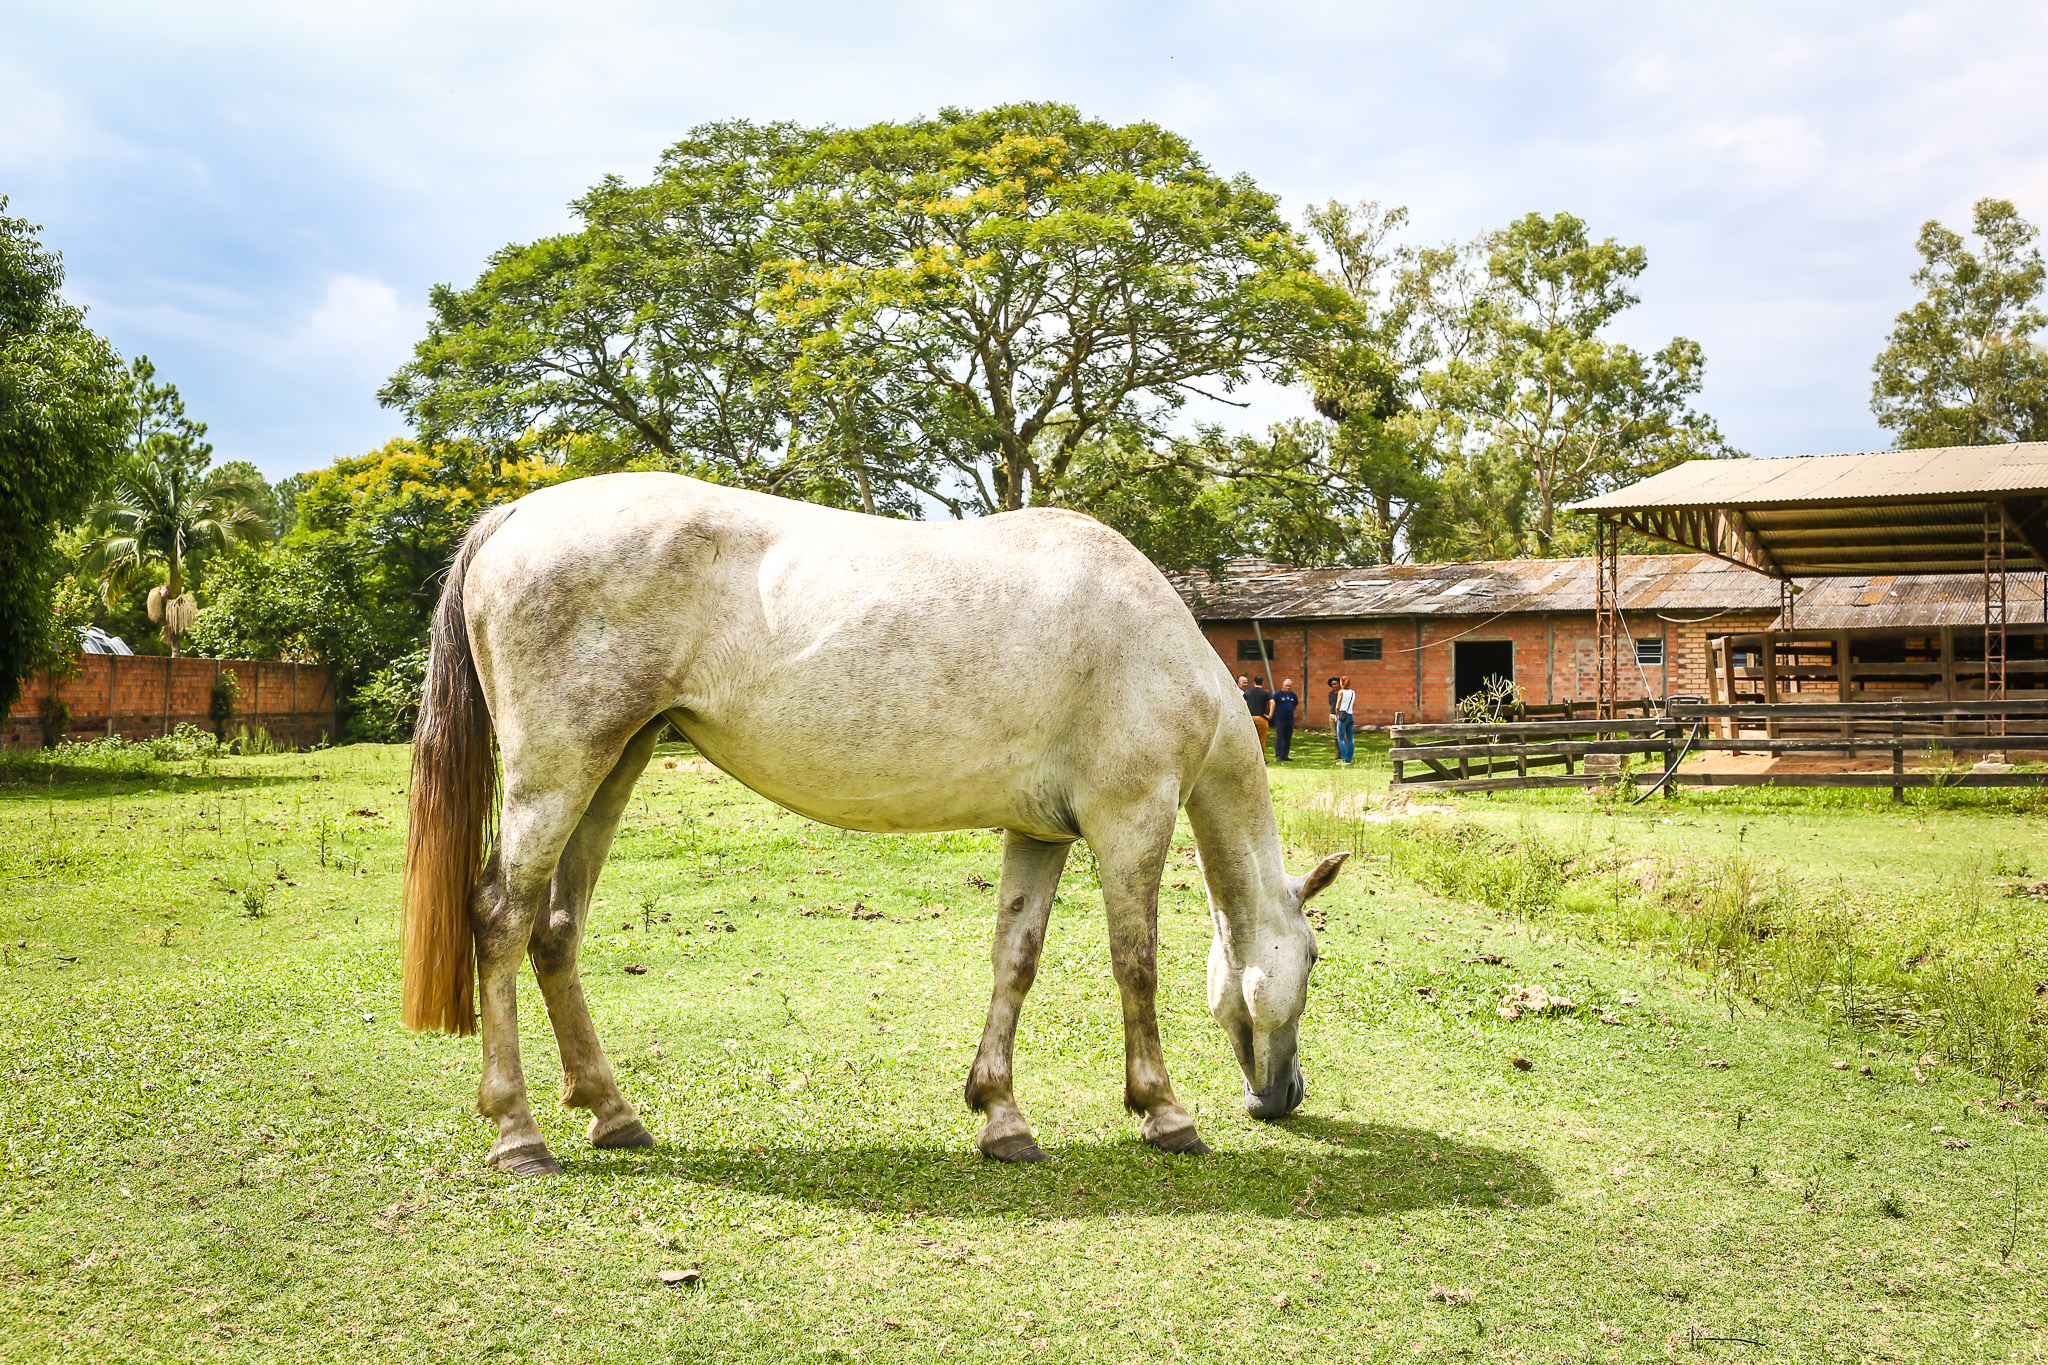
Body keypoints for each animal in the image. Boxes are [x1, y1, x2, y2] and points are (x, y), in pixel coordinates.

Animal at [405, 472, 1351, 1178]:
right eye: (1312, 957)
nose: (1285, 1095)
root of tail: (516, 514)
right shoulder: (1132, 821)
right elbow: (1137, 965)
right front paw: (1164, 1111)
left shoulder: (1042, 834)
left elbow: (1016, 962)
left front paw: (1001, 1116)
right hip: (556, 775)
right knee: (501, 919)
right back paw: (518, 1133)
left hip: (614, 765)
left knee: (555, 930)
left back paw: (612, 1112)